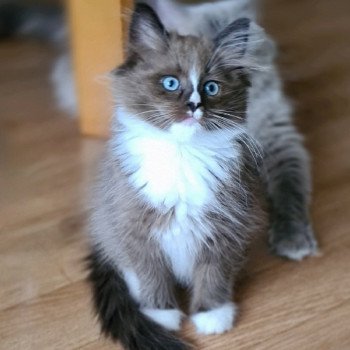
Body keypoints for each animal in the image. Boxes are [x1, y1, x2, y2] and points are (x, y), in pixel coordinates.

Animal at [87, 2, 318, 350]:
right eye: (170, 83)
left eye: (211, 87)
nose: (194, 106)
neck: (183, 155)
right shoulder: (134, 226)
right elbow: (151, 273)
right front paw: (161, 315)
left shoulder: (225, 229)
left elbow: (213, 275)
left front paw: (213, 316)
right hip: (108, 222)